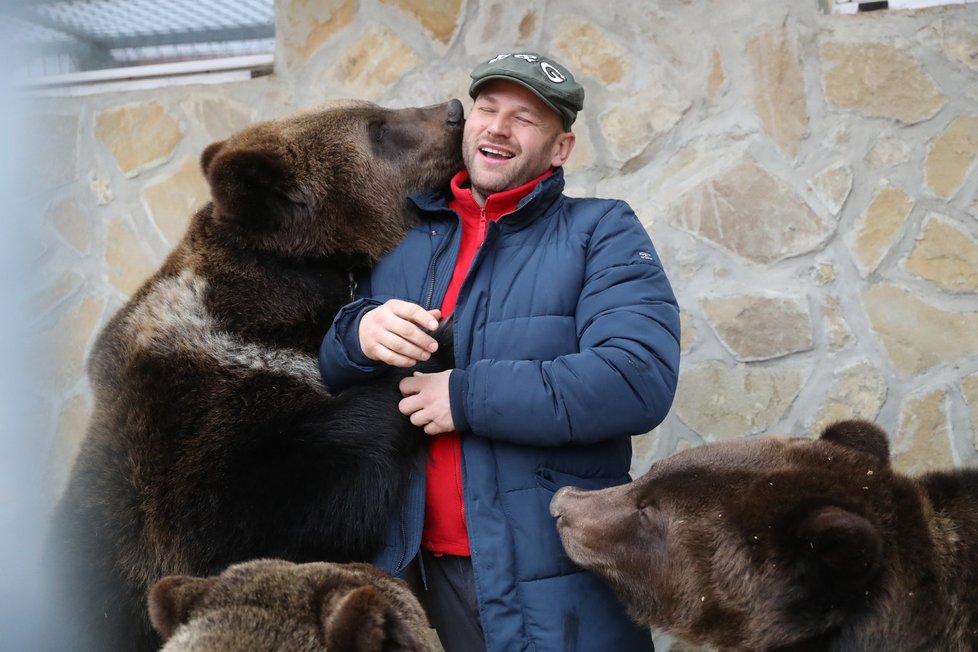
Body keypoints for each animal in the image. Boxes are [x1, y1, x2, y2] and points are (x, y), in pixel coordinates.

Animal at [42, 98, 462, 652]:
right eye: (377, 129)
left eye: (378, 112)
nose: (454, 111)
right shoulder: (192, 439)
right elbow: (261, 515)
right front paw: (430, 341)